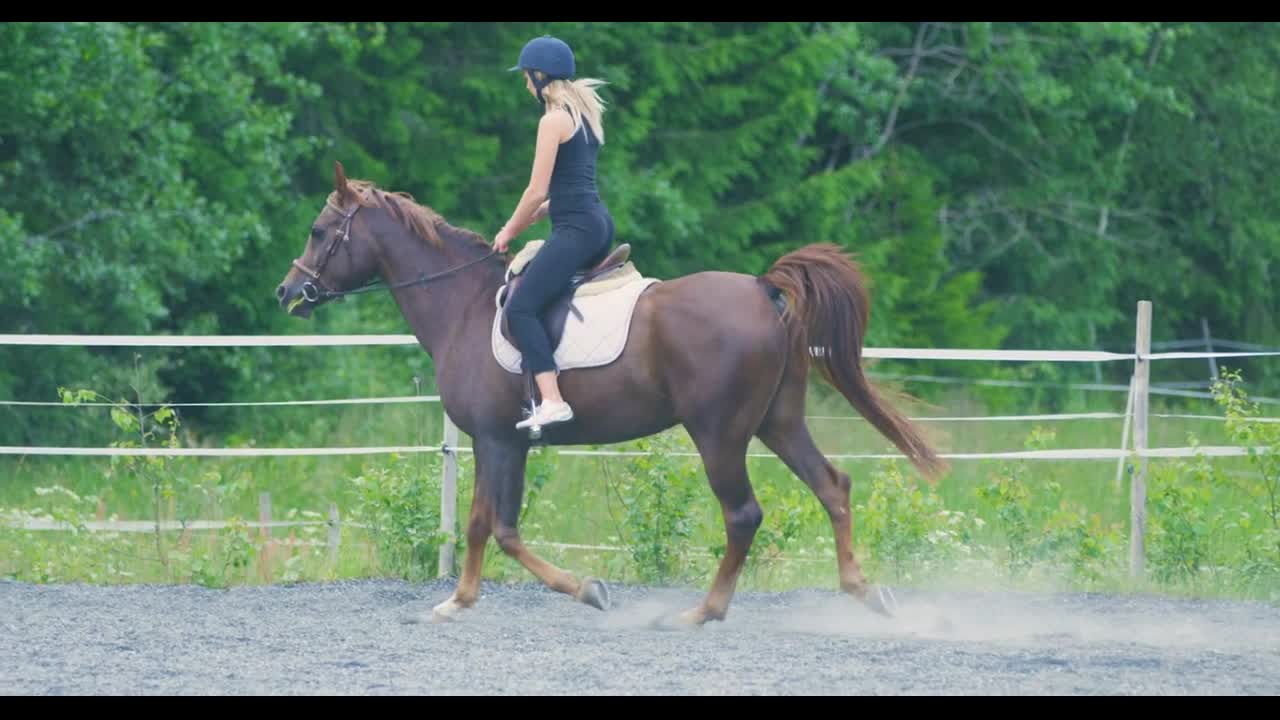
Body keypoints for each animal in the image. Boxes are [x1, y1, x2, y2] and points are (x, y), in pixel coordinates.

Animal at [280, 161, 952, 622]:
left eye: (317, 230)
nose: (288, 293)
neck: (463, 306)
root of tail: (763, 290)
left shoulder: (499, 440)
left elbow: (499, 527)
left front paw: (583, 589)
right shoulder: (497, 441)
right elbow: (482, 524)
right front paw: (463, 600)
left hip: (720, 434)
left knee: (743, 514)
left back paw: (702, 612)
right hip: (778, 422)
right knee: (832, 486)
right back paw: (864, 593)